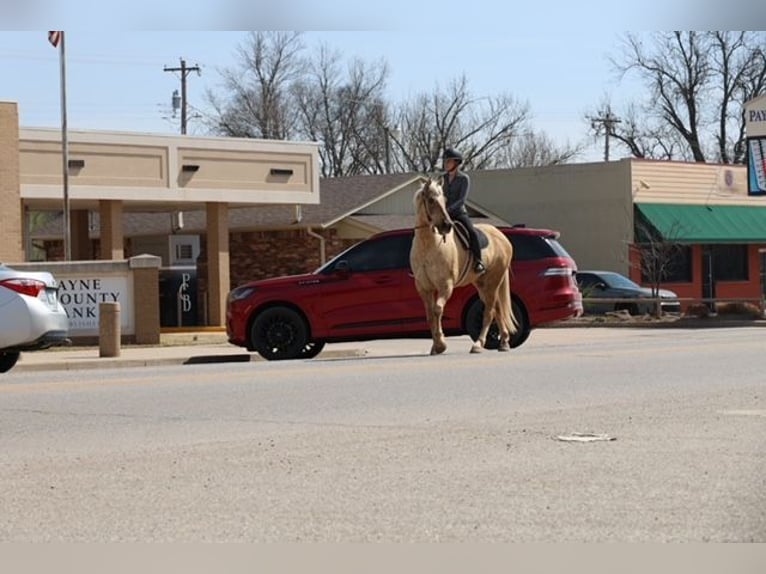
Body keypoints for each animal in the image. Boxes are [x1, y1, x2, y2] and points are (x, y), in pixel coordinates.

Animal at [409, 176, 517, 355]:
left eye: (444, 200)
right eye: (431, 200)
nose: (446, 225)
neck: (428, 245)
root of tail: (502, 237)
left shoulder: (446, 286)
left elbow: (438, 310)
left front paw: (441, 344)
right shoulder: (424, 288)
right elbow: (430, 316)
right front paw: (435, 346)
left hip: (493, 282)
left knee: (489, 312)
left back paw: (478, 345)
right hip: (482, 284)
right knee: (497, 309)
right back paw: (504, 343)